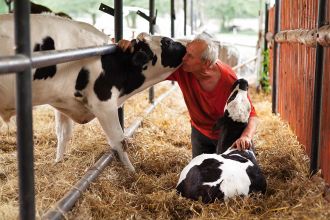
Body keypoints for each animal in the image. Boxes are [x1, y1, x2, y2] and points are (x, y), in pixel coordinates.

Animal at [0, 13, 186, 172]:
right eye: (167, 42)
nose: (185, 44)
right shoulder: (104, 103)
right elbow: (119, 140)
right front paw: (132, 172)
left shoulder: (62, 102)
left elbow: (63, 134)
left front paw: (58, 162)